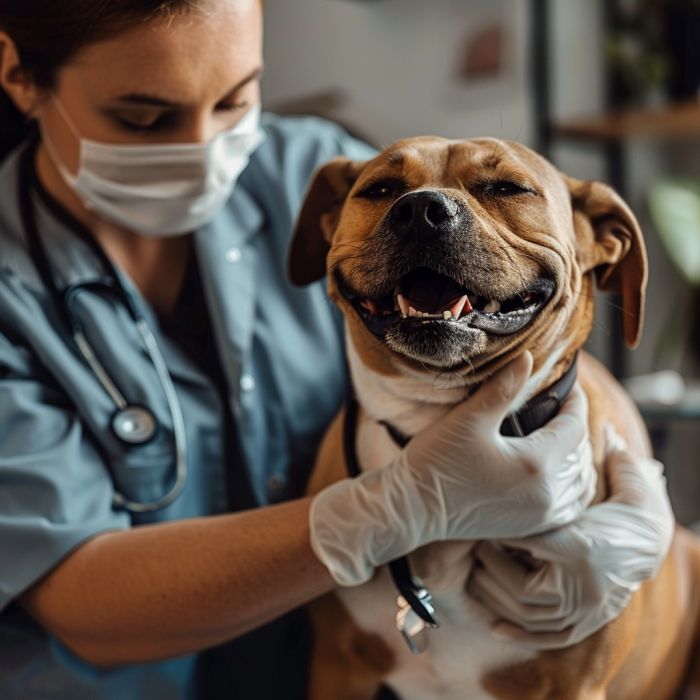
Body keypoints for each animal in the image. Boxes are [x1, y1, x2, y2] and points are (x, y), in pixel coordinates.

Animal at [288, 138, 700, 700]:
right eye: (380, 189)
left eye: (508, 187)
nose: (422, 209)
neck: (438, 430)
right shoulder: (336, 665)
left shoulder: (576, 686)